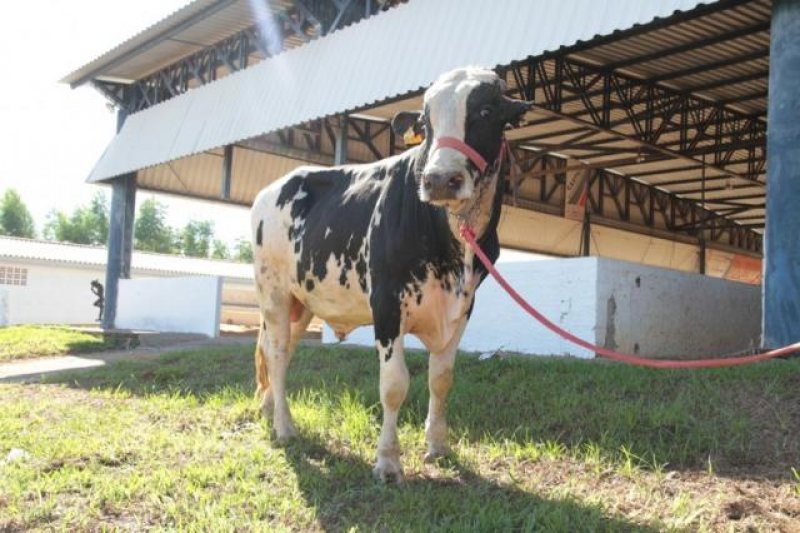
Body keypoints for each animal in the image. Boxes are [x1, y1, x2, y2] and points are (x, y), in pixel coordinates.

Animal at [251, 67, 530, 482]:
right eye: (426, 123)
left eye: (486, 111)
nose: (439, 179)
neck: (453, 247)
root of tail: (272, 187)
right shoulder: (386, 304)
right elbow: (394, 385)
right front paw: (387, 461)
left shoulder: (463, 306)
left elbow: (441, 379)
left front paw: (437, 446)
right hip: (274, 293)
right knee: (279, 353)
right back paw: (284, 428)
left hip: (303, 301)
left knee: (275, 353)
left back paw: (270, 410)